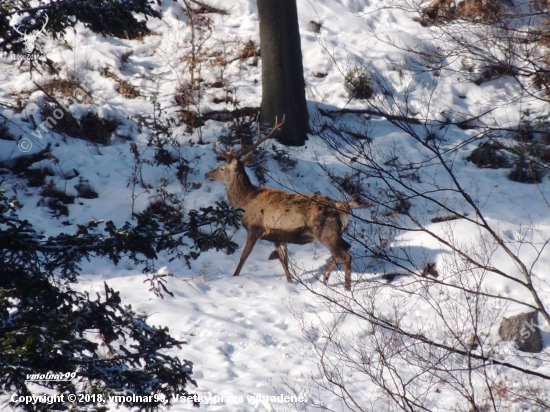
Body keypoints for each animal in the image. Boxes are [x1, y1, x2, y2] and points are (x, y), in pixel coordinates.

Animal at [205, 116, 360, 290]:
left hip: (325, 231)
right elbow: (284, 262)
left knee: (345, 256)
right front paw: (290, 283)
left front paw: (234, 277)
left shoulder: (255, 228)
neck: (247, 199)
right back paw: (325, 276)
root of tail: (343, 206)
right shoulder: (278, 235)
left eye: (222, 168)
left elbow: (244, 257)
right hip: (335, 233)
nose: (207, 174)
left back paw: (345, 287)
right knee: (347, 248)